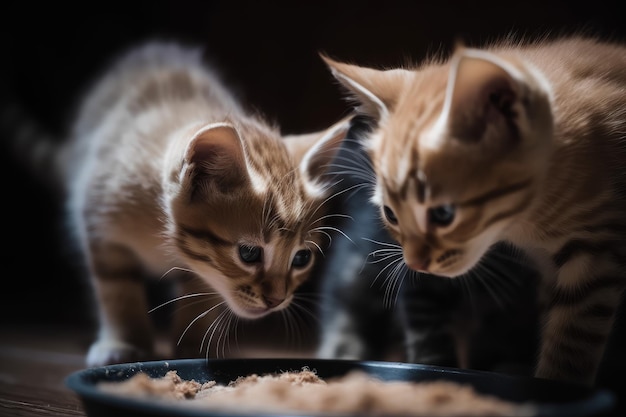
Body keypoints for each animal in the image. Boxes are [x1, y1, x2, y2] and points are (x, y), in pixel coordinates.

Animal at [7, 40, 348, 366]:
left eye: (301, 258)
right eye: (249, 254)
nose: (276, 300)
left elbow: (201, 289)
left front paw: (192, 346)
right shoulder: (98, 219)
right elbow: (117, 287)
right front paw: (125, 342)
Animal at [322, 35, 624, 384]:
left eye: (443, 214)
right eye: (391, 213)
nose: (414, 263)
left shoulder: (595, 252)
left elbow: (571, 339)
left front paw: (554, 381)